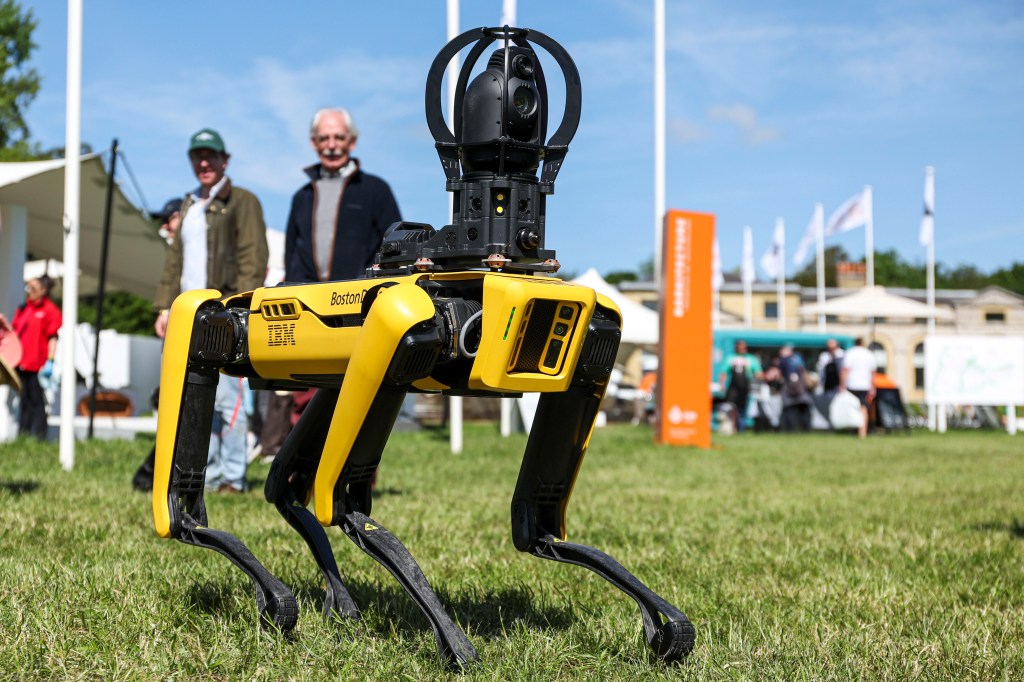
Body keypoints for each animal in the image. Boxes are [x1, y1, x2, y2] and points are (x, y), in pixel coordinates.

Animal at [151, 26, 696, 663]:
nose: (517, 74)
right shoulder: (402, 327)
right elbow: (346, 505)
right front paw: (453, 642)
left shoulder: (595, 343)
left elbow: (537, 523)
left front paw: (664, 624)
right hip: (227, 324)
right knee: (225, 481)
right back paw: (284, 593)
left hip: (336, 381)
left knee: (287, 486)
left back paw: (338, 603)